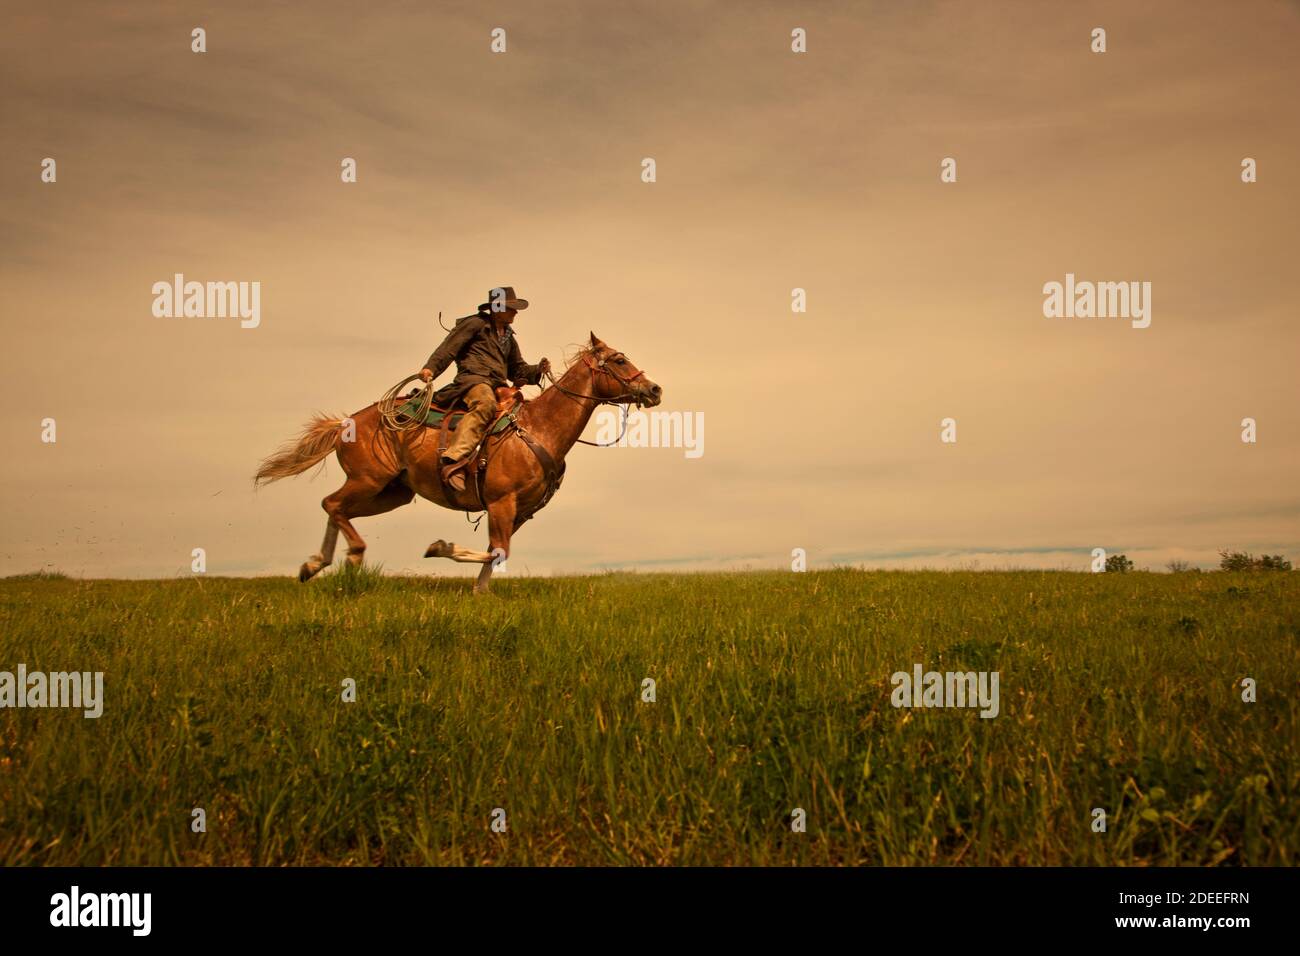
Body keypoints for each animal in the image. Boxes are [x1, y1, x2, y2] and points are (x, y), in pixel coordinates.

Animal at [253, 332, 660, 595]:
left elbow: (496, 554)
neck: (537, 429)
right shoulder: (501, 502)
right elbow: (498, 550)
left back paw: (316, 565)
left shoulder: (520, 512)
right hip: (367, 480)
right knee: (332, 504)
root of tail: (346, 423)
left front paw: (480, 592)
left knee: (336, 508)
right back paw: (350, 557)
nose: (654, 389)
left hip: (391, 494)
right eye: (619, 360)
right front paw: (440, 547)